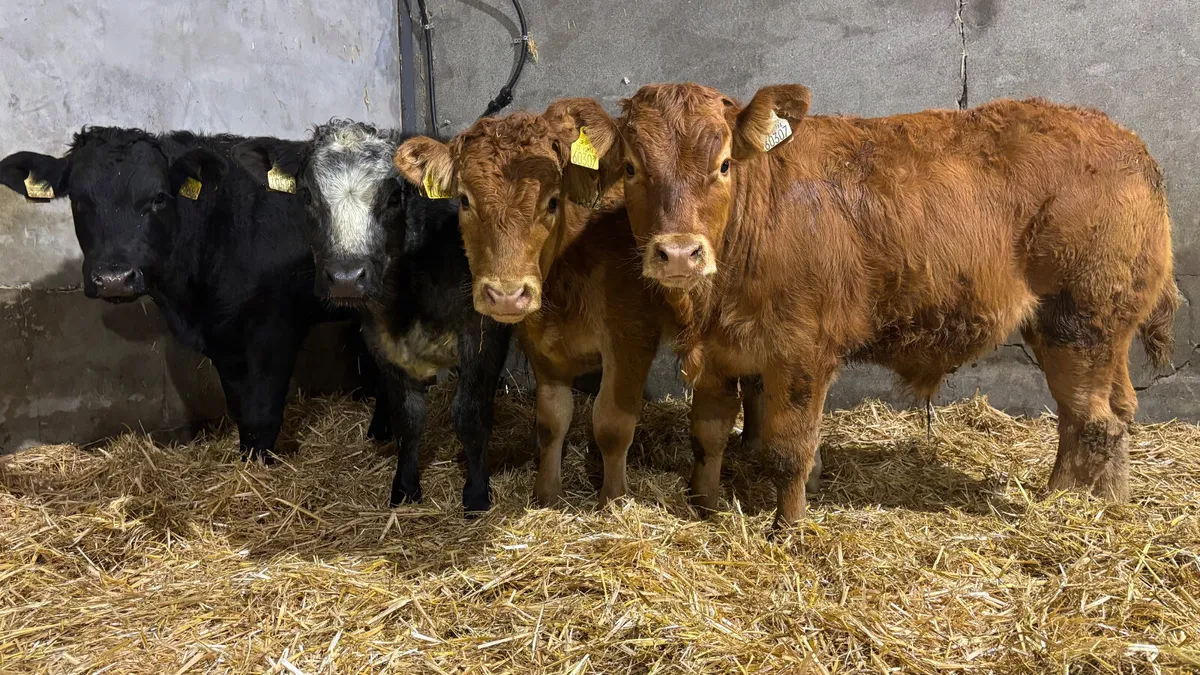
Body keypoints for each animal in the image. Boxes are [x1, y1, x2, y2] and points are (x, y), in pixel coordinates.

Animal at [0, 128, 362, 461]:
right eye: (78, 199)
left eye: (159, 197)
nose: (114, 278)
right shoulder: (223, 338)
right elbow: (241, 409)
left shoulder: (274, 327)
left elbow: (262, 412)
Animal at [232, 120, 511, 513]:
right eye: (306, 196)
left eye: (395, 197)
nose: (347, 277)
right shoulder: (382, 339)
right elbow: (408, 417)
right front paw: (405, 487)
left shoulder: (483, 334)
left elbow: (469, 414)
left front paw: (475, 494)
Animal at [393, 101, 799, 509]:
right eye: (464, 200)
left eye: (552, 201)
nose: (506, 294)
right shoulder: (539, 343)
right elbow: (551, 420)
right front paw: (547, 494)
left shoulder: (630, 338)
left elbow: (612, 424)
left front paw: (612, 500)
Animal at [568, 83, 1178, 532]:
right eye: (631, 169)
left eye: (722, 165)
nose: (678, 252)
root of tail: (1130, 144)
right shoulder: (720, 353)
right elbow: (709, 433)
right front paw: (705, 506)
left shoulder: (803, 351)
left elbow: (792, 447)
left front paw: (786, 528)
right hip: (1103, 330)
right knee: (1114, 410)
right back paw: (1105, 499)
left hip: (1077, 321)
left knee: (1093, 421)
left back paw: (1062, 504)